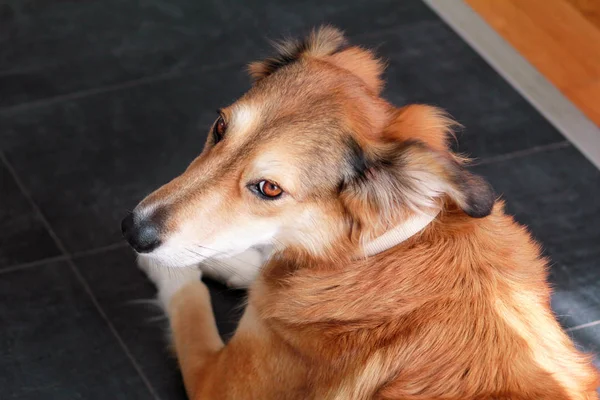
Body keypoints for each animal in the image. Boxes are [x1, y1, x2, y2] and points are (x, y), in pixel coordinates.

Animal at [119, 26, 596, 398]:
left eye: (269, 188)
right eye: (220, 128)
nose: (131, 230)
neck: (369, 253)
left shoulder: (215, 382)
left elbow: (189, 301)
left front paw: (171, 269)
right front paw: (224, 262)